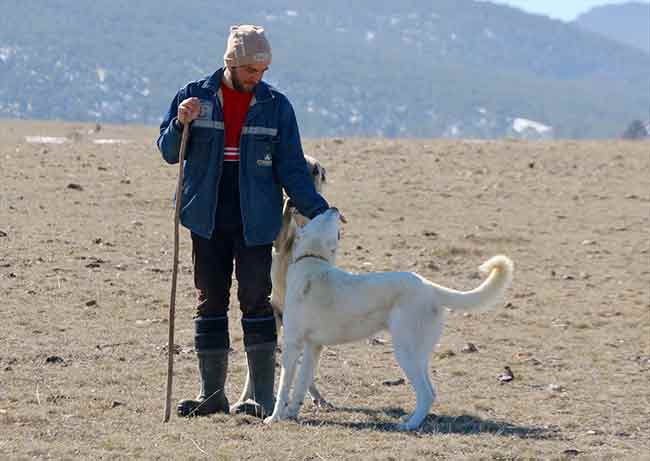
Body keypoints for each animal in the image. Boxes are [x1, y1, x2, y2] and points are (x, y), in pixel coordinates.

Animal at [264, 207, 512, 430]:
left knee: (426, 393)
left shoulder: (292, 345)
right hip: (418, 354)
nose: (333, 208)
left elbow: (284, 386)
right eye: (322, 216)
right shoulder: (313, 347)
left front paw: (275, 417)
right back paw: (410, 418)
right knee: (430, 390)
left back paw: (409, 425)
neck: (312, 259)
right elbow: (301, 384)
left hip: (405, 351)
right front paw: (292, 413)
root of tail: (430, 287)